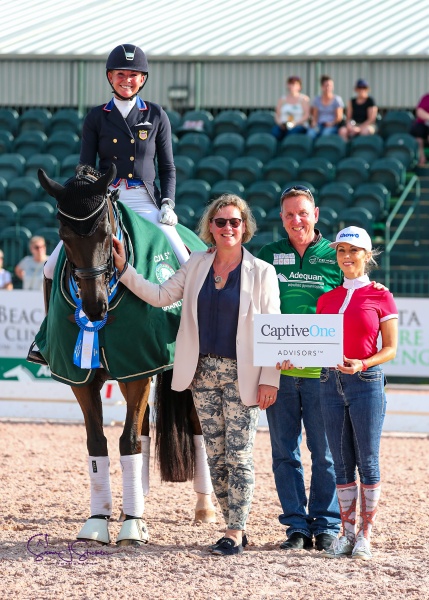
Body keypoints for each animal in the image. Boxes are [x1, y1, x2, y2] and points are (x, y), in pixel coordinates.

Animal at [33, 164, 214, 544]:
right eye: (64, 235)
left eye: (105, 233)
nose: (94, 308)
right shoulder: (85, 377)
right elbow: (98, 442)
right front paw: (99, 520)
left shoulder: (139, 365)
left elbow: (128, 442)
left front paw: (132, 526)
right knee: (144, 429)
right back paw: (137, 499)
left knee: (196, 427)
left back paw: (204, 508)